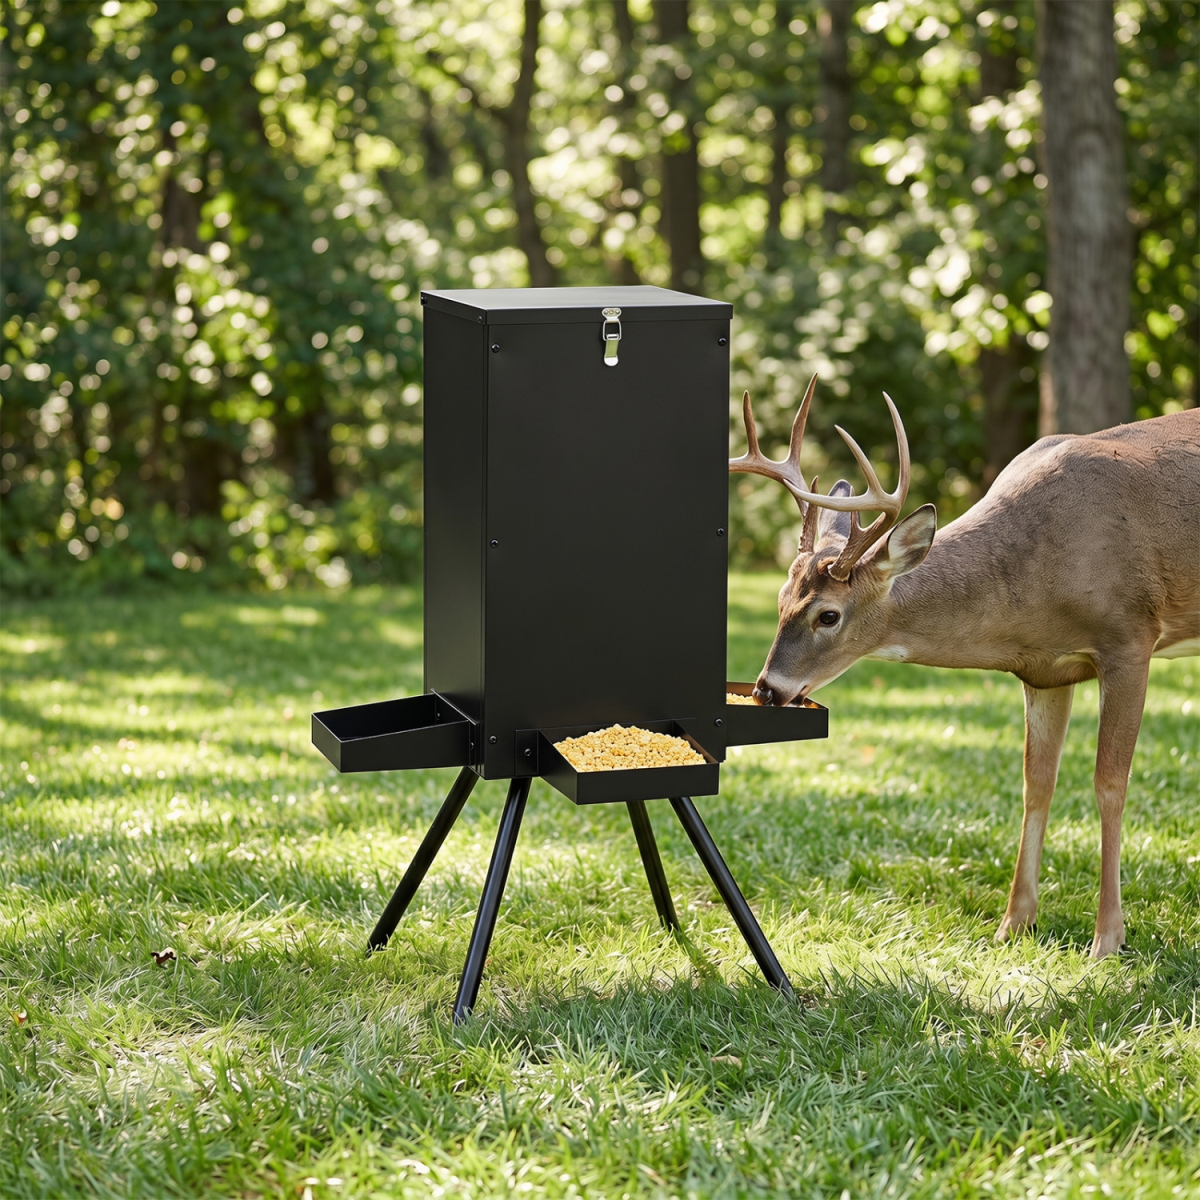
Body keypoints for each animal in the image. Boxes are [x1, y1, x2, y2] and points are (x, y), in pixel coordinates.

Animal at [731, 376, 1200, 959]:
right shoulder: (1046, 671)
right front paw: (1013, 924)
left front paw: (1107, 939)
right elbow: (1036, 782)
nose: (766, 689)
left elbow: (1109, 784)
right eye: (779, 599)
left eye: (829, 614)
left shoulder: (1130, 640)